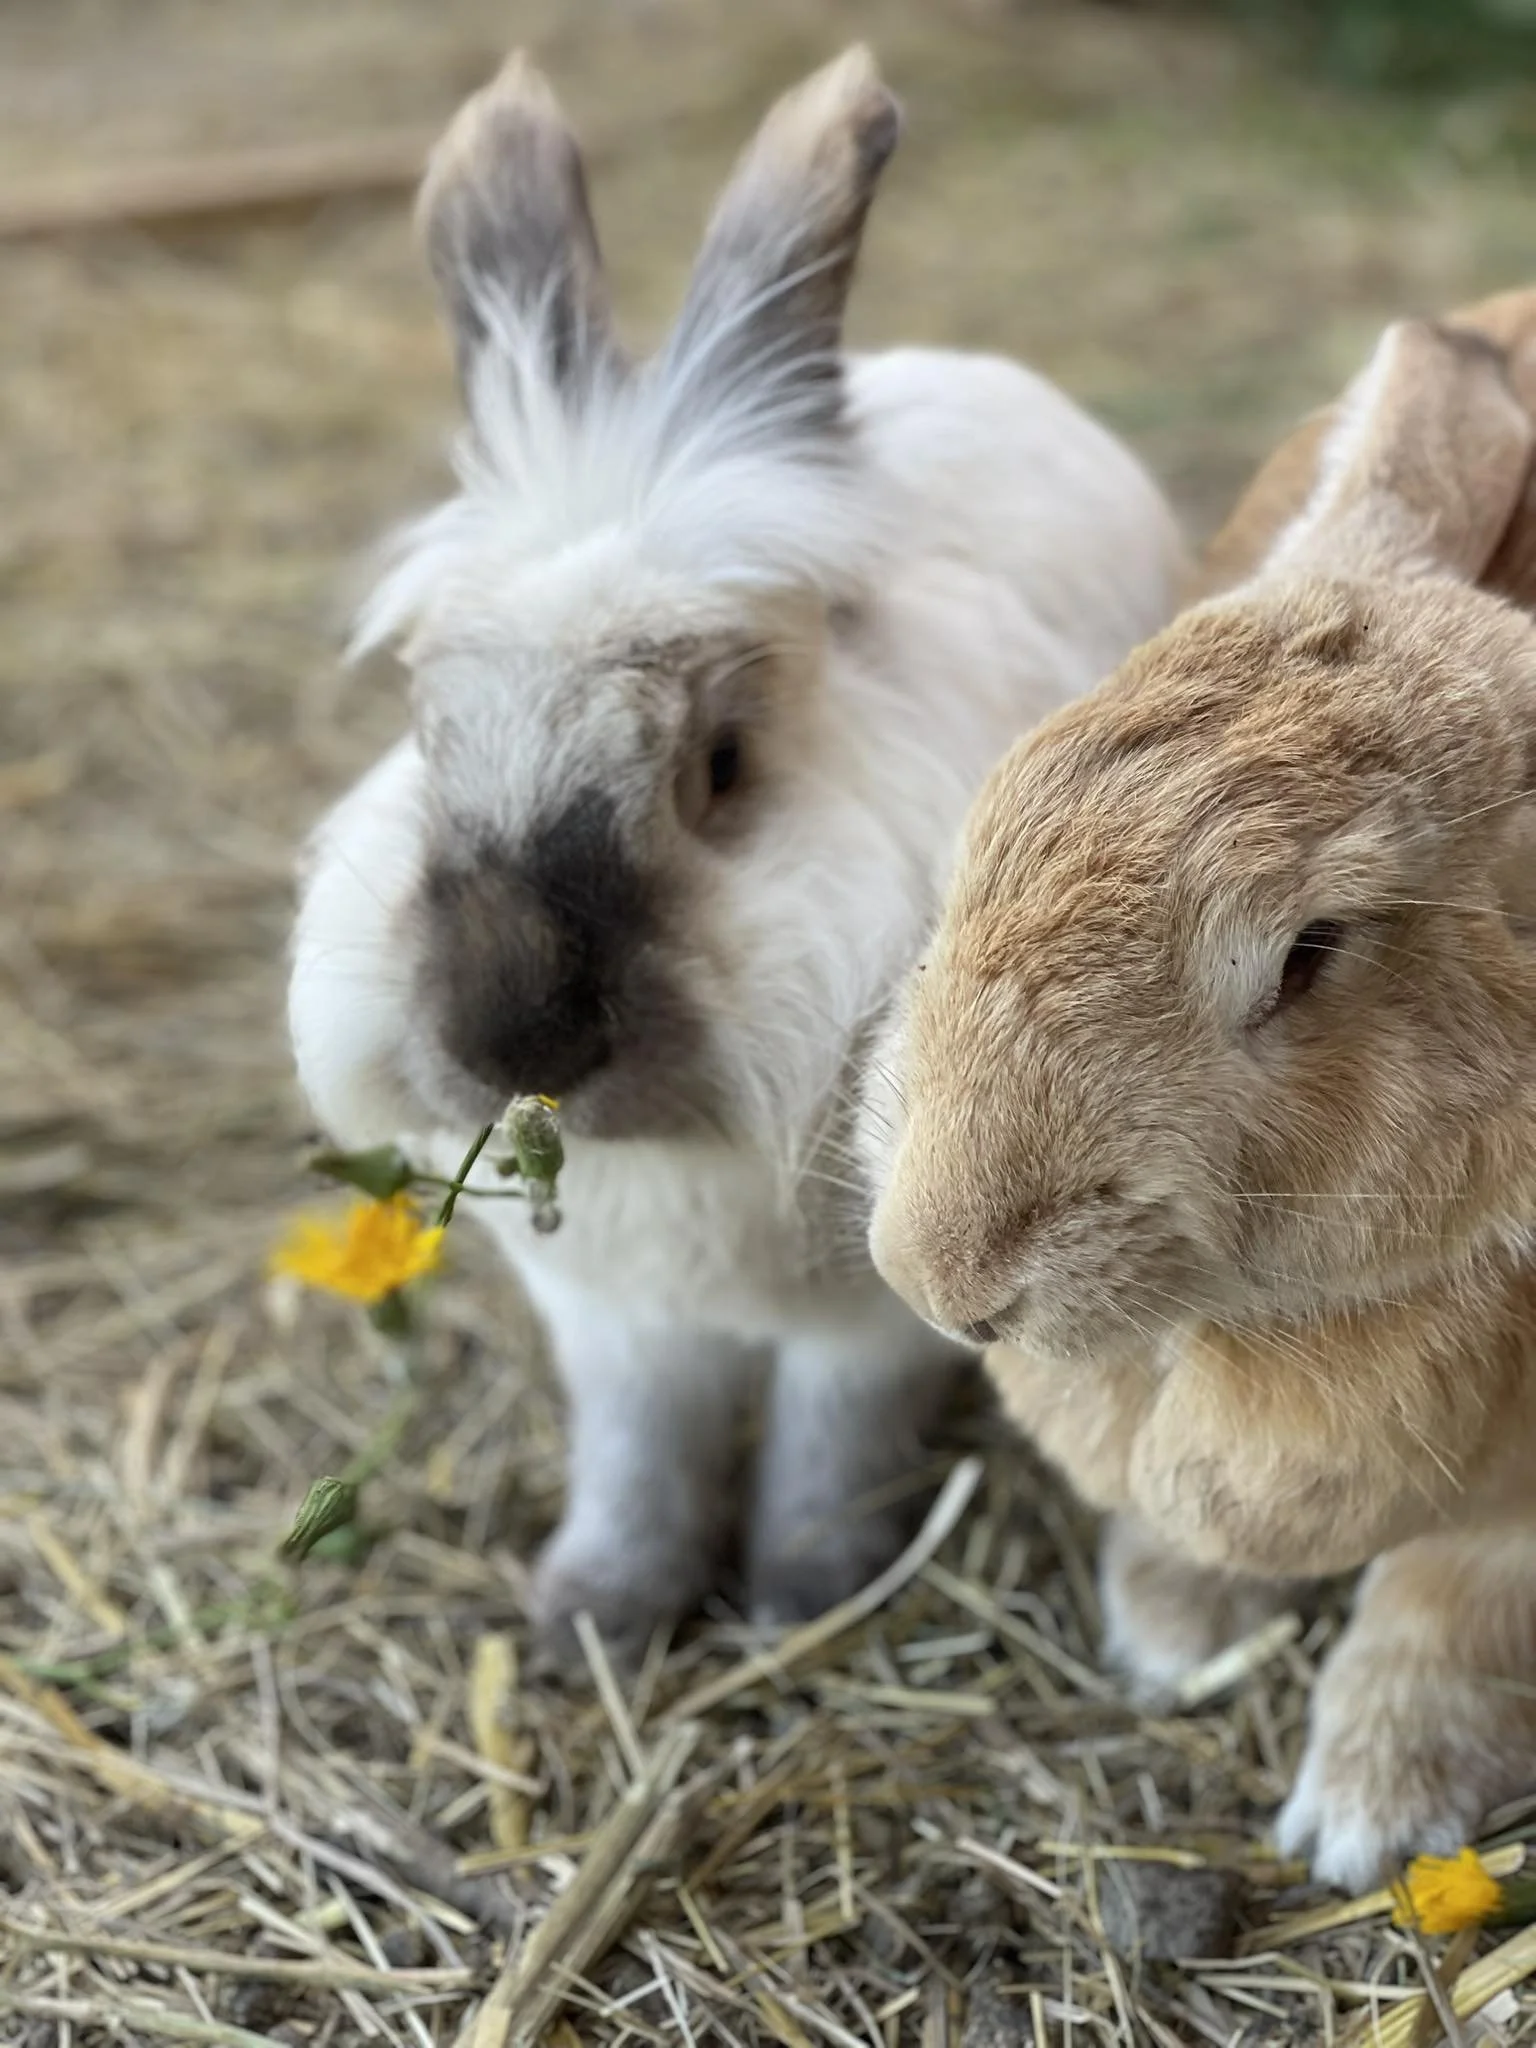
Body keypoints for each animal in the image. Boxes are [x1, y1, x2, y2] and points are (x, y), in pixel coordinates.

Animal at [287, 45, 1185, 1668]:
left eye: (722, 765)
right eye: (425, 730)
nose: (512, 1033)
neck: (673, 1153)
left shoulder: (867, 1329)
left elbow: (829, 1457)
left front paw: (803, 1604)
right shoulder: (623, 1329)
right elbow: (639, 1461)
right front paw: (594, 1616)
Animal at [860, 310, 1536, 1888]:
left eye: (1308, 951)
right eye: (984, 835)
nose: (937, 1275)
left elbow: (1456, 1602)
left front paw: (1368, 1815)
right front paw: (1166, 1634)